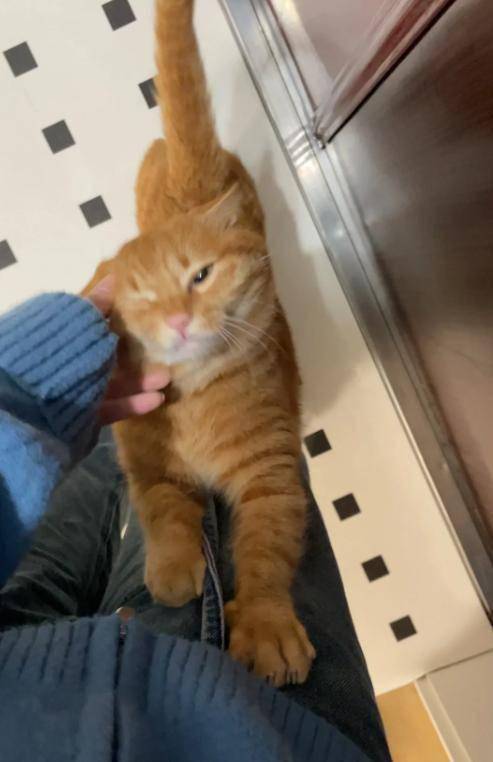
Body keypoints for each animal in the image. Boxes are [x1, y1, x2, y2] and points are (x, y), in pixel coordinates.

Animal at [84, 0, 315, 687]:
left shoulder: (272, 473)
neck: (192, 401)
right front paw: (173, 571)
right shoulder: (145, 462)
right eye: (142, 298)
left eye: (201, 276)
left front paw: (265, 625)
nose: (180, 319)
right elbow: (163, 507)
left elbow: (268, 549)